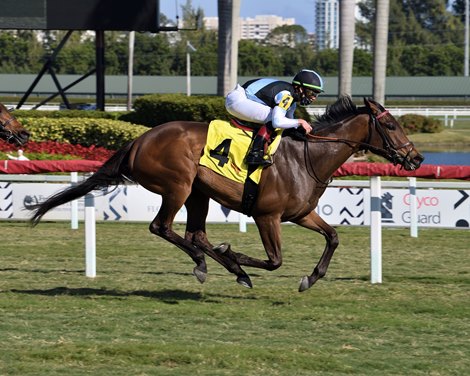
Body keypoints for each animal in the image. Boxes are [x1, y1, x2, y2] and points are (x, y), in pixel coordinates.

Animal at [31, 96, 424, 290]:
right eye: (391, 125)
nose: (416, 158)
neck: (308, 157)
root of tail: (138, 140)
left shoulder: (300, 214)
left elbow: (333, 237)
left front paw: (310, 278)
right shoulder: (267, 216)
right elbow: (274, 260)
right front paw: (235, 256)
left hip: (198, 193)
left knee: (195, 233)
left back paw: (221, 265)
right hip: (178, 186)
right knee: (163, 228)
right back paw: (212, 263)